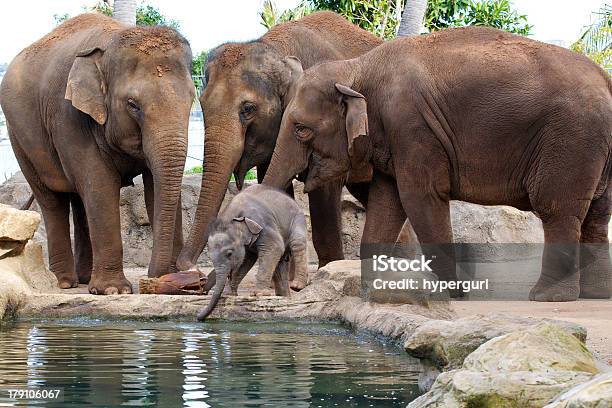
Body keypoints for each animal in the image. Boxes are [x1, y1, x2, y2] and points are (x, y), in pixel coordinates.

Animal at [0, 12, 194, 294]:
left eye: (191, 100)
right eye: (133, 105)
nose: (156, 278)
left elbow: (153, 186)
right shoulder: (68, 116)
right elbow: (100, 184)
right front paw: (114, 291)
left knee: (79, 199)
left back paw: (83, 278)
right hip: (19, 138)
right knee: (52, 200)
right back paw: (65, 282)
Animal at [175, 11, 380, 272]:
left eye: (248, 109)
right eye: (201, 104)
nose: (188, 267)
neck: (277, 49)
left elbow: (325, 194)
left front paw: (326, 269)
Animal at [197, 183, 308, 320]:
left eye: (229, 254)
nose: (198, 317)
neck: (231, 216)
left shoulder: (264, 225)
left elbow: (275, 247)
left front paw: (259, 294)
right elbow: (246, 260)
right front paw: (229, 294)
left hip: (297, 218)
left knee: (297, 244)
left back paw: (297, 286)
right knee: (280, 262)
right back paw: (283, 297)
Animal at [264, 25, 612, 300]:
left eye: (302, 129)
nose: (291, 290)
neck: (357, 68)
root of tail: (605, 79)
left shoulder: (413, 126)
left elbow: (421, 198)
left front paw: (452, 293)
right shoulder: (396, 138)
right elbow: (387, 201)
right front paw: (372, 288)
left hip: (572, 139)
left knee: (558, 210)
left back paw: (546, 296)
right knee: (597, 214)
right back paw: (595, 294)